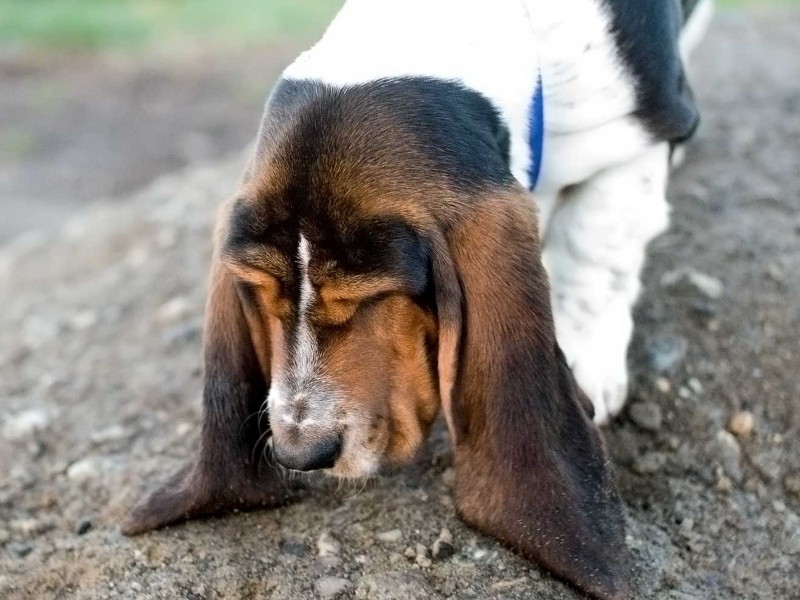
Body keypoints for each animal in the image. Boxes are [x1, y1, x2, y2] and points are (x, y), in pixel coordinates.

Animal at [123, 2, 712, 596]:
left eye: (376, 296)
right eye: (263, 292)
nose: (299, 453)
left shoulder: (643, 130)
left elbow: (597, 243)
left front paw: (589, 361)